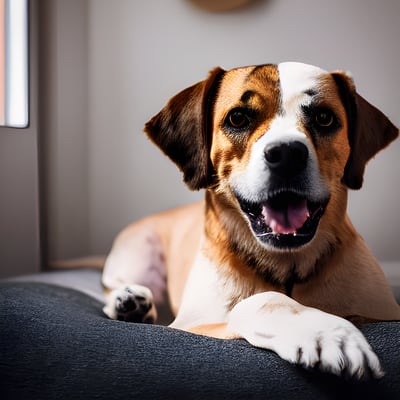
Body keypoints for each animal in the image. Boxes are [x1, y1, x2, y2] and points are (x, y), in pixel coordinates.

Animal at [101, 61, 398, 378]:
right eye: (238, 118)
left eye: (323, 118)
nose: (287, 154)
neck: (287, 265)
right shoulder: (194, 324)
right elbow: (260, 301)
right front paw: (327, 333)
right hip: (137, 254)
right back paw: (128, 300)